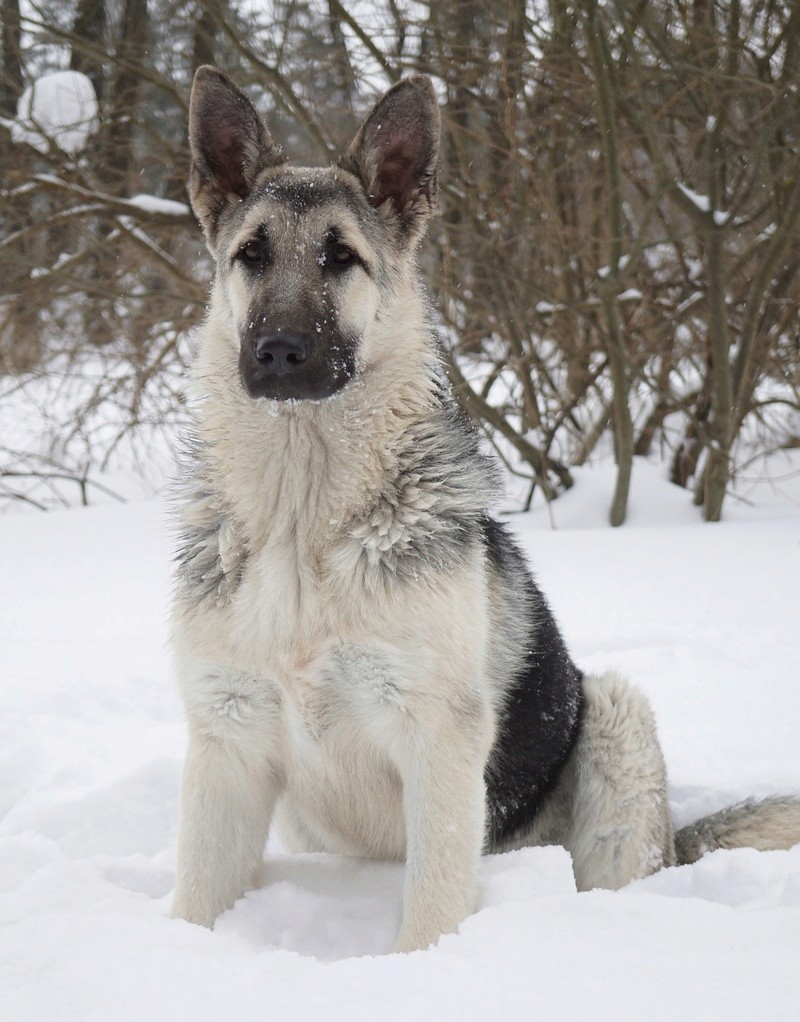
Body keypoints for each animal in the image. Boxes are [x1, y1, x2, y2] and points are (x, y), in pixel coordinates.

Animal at [168, 67, 800, 952]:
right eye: (251, 255)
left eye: (340, 257)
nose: (279, 353)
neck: (304, 516)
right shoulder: (227, 745)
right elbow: (195, 904)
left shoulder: (436, 742)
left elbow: (433, 904)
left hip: (617, 718)